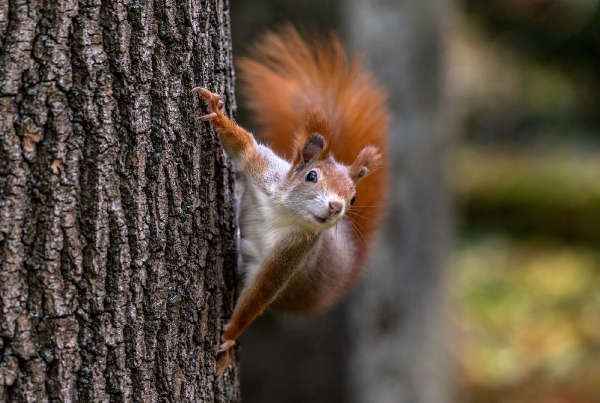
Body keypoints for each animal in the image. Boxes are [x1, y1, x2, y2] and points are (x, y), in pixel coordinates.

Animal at [192, 26, 390, 378]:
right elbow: (243, 146)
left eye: (353, 198)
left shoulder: (293, 253)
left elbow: (259, 294)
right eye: (311, 176)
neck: (283, 212)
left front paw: (229, 339)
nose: (336, 207)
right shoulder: (263, 171)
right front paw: (218, 115)